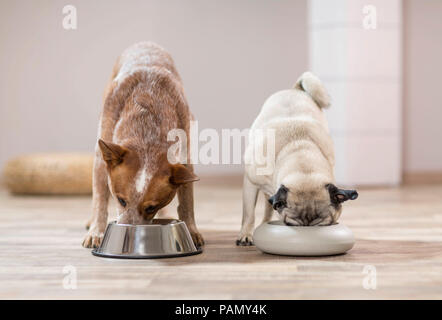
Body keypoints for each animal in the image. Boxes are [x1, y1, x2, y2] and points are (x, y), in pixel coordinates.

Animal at [83, 41, 204, 249]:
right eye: (121, 200)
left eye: (151, 207)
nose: (129, 232)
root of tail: (145, 42)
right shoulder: (101, 159)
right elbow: (99, 199)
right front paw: (96, 232)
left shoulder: (185, 159)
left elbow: (187, 201)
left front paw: (191, 229)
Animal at [237, 71, 358, 245]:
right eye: (290, 224)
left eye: (326, 225)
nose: (306, 234)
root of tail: (295, 89)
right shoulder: (250, 183)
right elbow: (248, 213)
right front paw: (246, 234)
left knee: (268, 205)